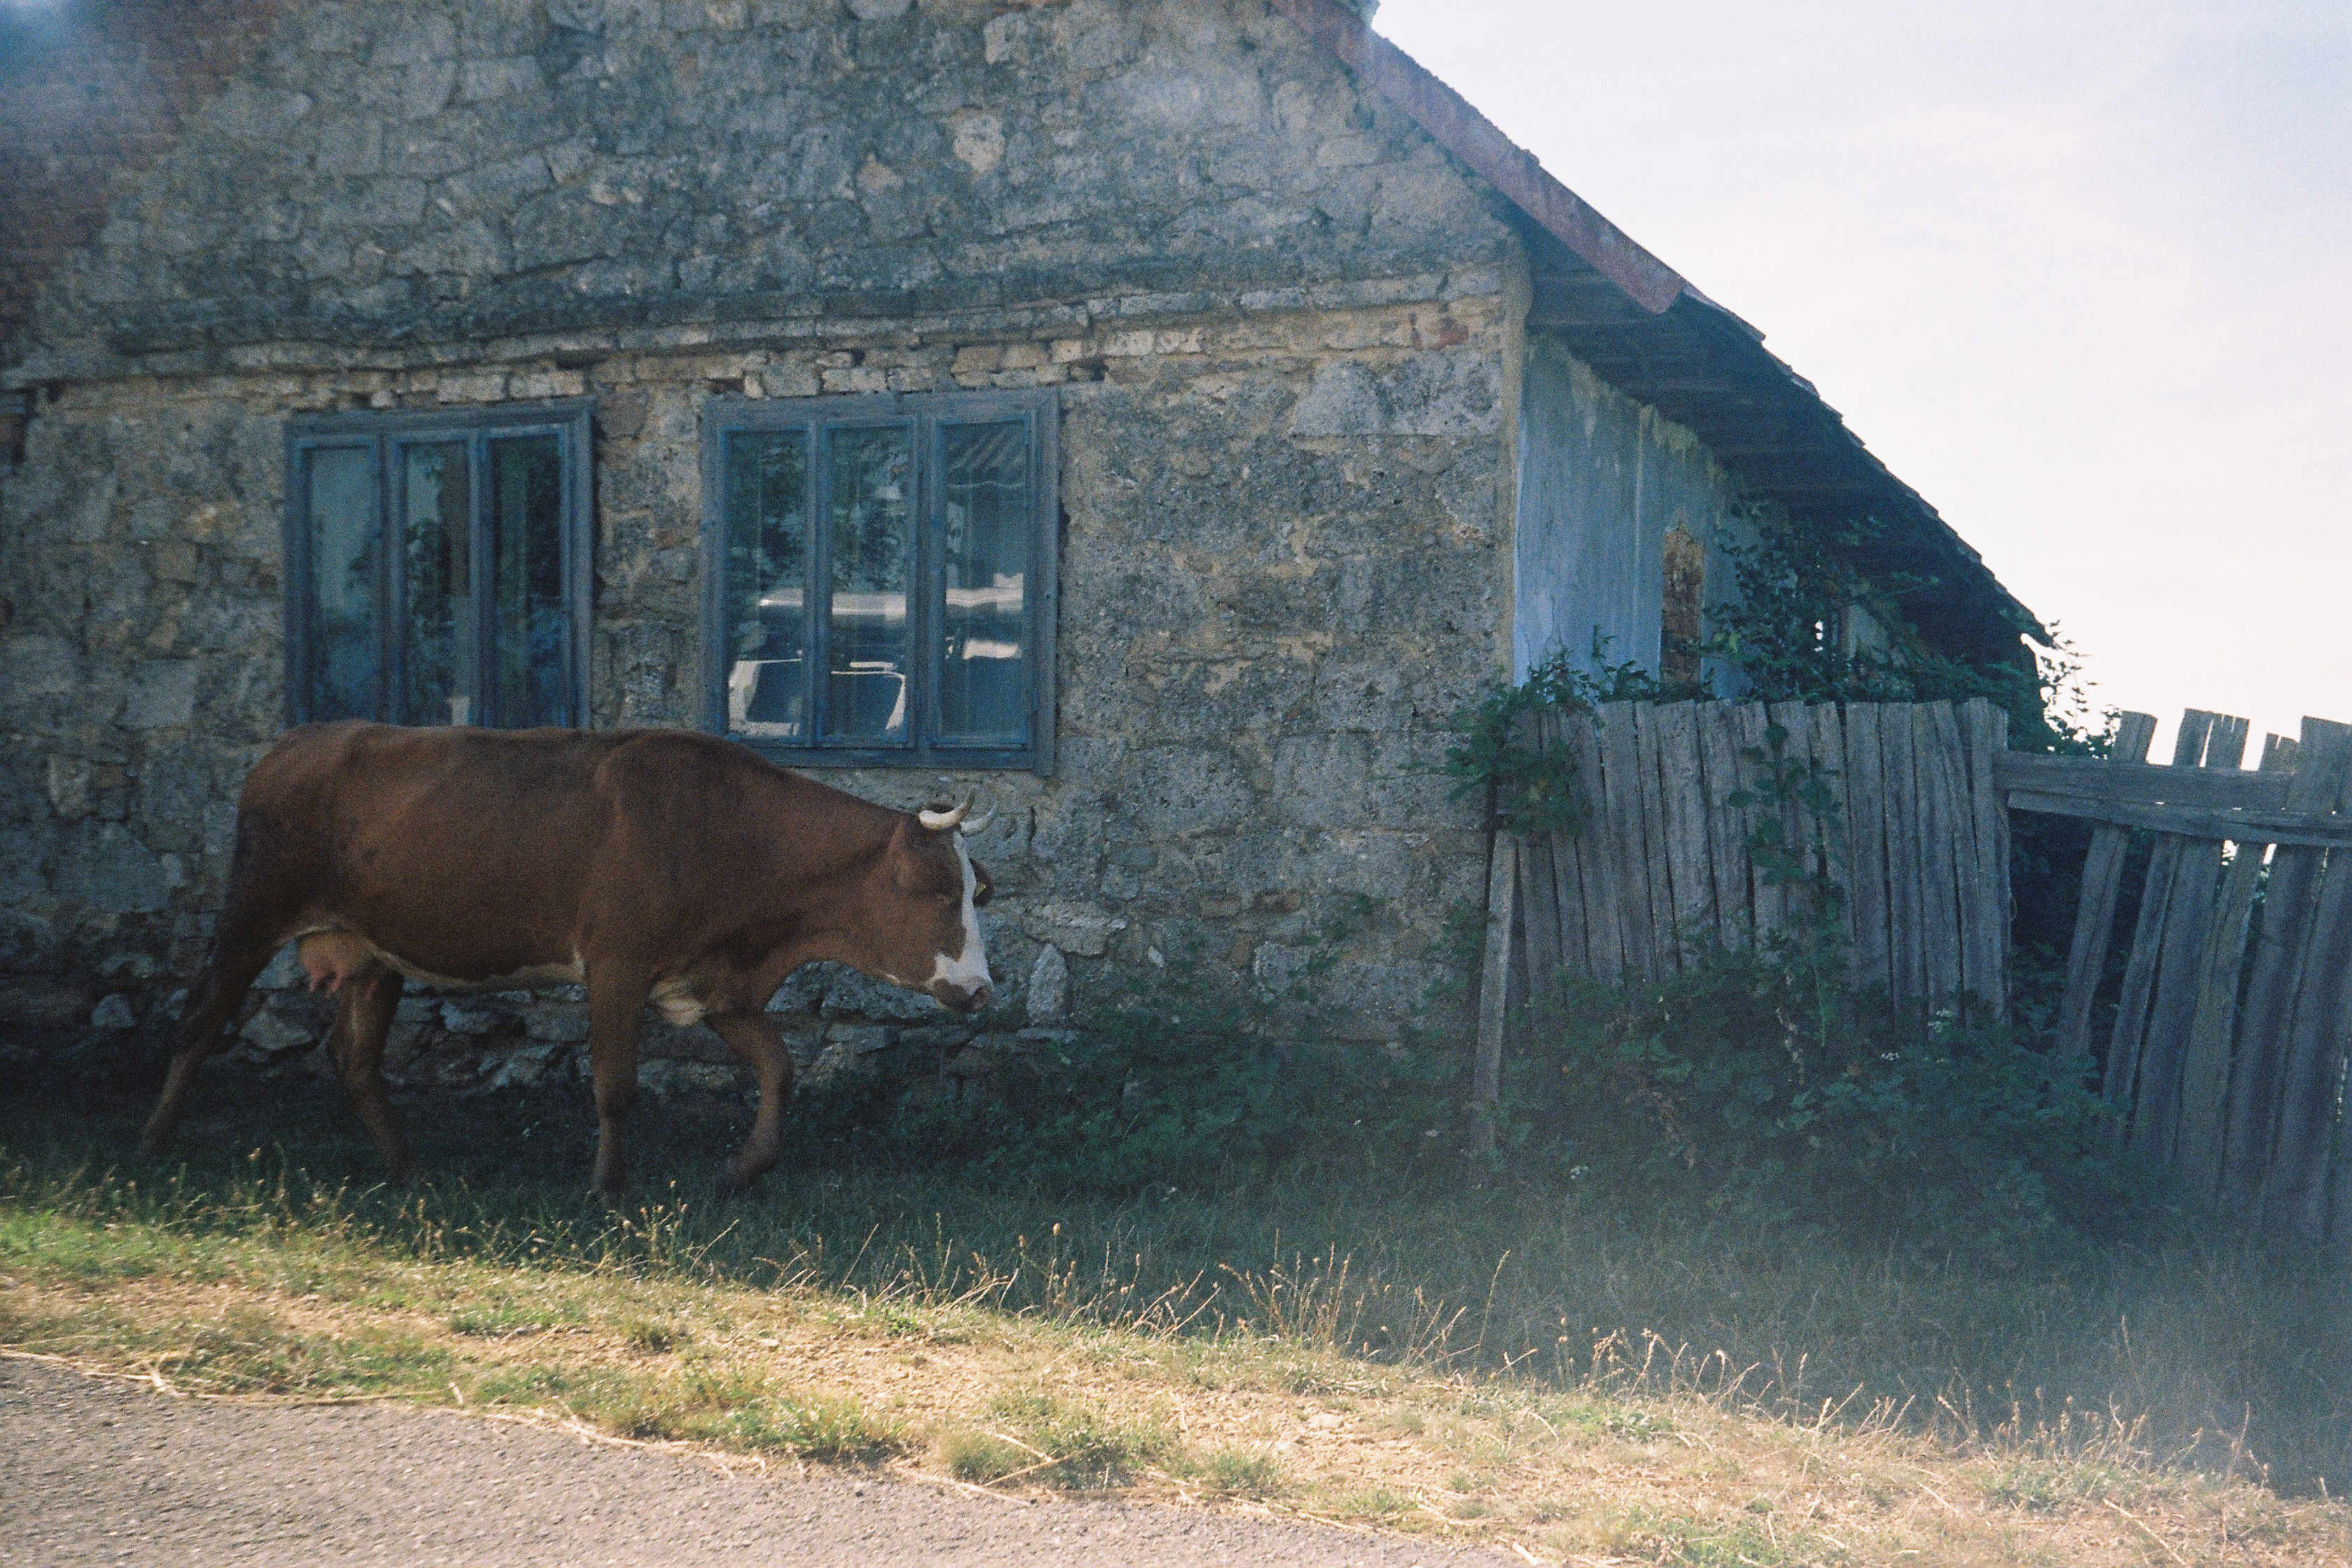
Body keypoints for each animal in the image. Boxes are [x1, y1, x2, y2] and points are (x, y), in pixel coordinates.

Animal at [139, 720, 996, 1200]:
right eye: (934, 888)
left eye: (978, 888)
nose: (982, 989)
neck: (726, 833)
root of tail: (293, 743)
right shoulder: (617, 963)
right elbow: (616, 1087)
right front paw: (607, 1190)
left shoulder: (715, 984)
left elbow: (779, 1068)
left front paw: (741, 1170)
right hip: (253, 912)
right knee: (199, 1018)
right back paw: (153, 1141)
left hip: (376, 953)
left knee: (355, 1060)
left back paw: (408, 1169)